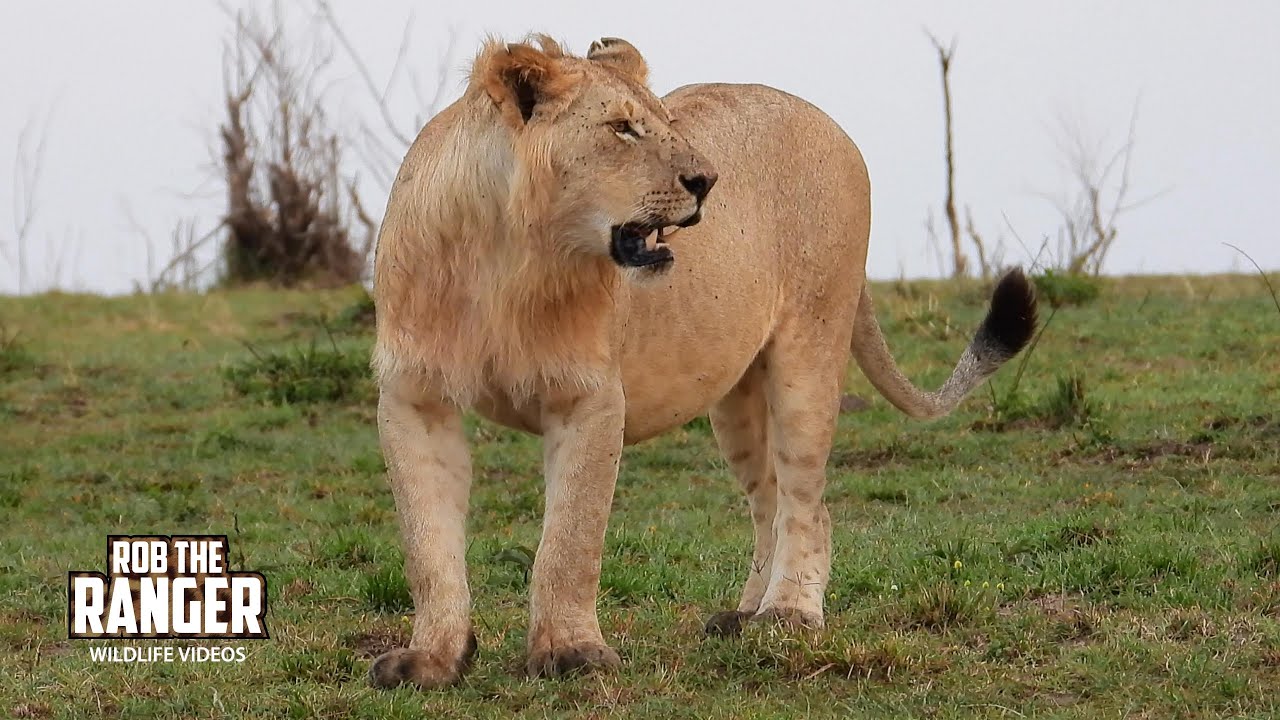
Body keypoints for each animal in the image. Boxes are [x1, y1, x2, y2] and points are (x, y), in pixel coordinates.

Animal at [368, 34, 1037, 688]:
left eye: (665, 123)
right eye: (622, 128)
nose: (707, 180)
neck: (507, 257)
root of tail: (826, 121)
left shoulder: (590, 398)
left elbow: (570, 540)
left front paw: (571, 653)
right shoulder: (413, 397)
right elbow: (428, 545)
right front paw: (431, 659)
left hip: (809, 352)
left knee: (807, 502)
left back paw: (789, 615)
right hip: (736, 397)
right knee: (768, 499)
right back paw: (744, 615)